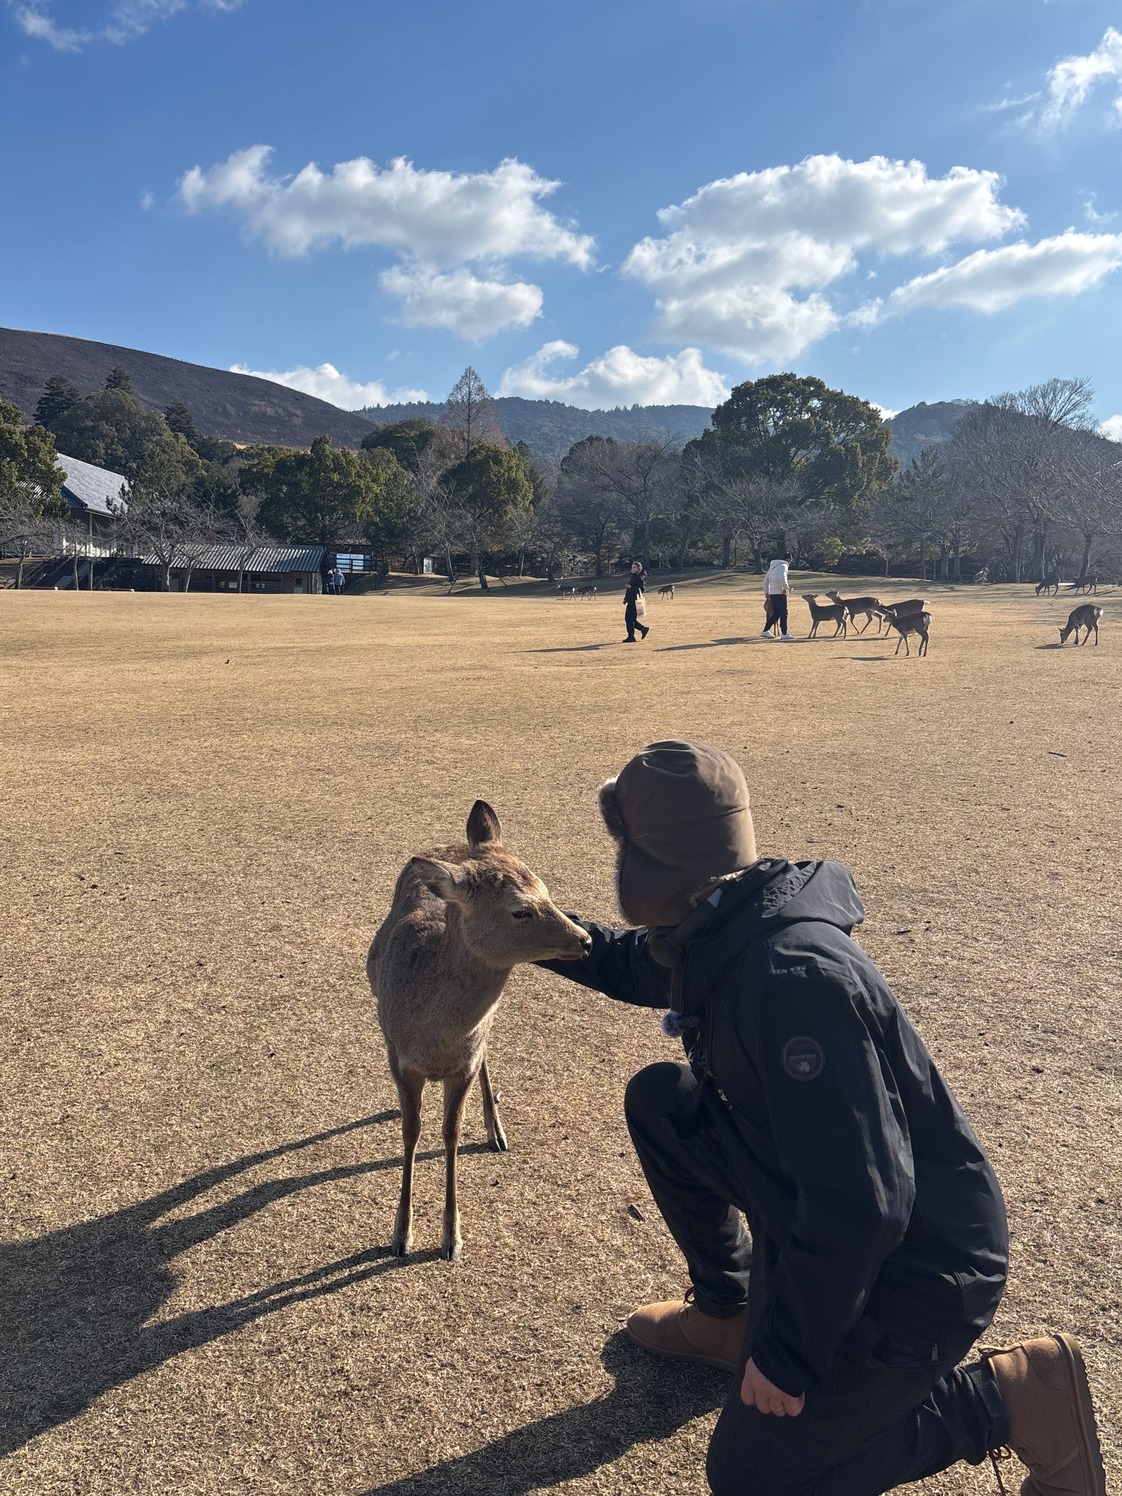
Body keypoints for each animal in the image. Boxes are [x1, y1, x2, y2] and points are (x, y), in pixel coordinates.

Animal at [367, 801, 590, 1261]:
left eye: (547, 890)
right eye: (520, 910)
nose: (586, 939)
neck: (433, 1035)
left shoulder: (465, 1061)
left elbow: (450, 1134)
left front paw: (451, 1237)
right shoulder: (399, 1056)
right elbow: (411, 1131)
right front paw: (400, 1235)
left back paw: (496, 1130)